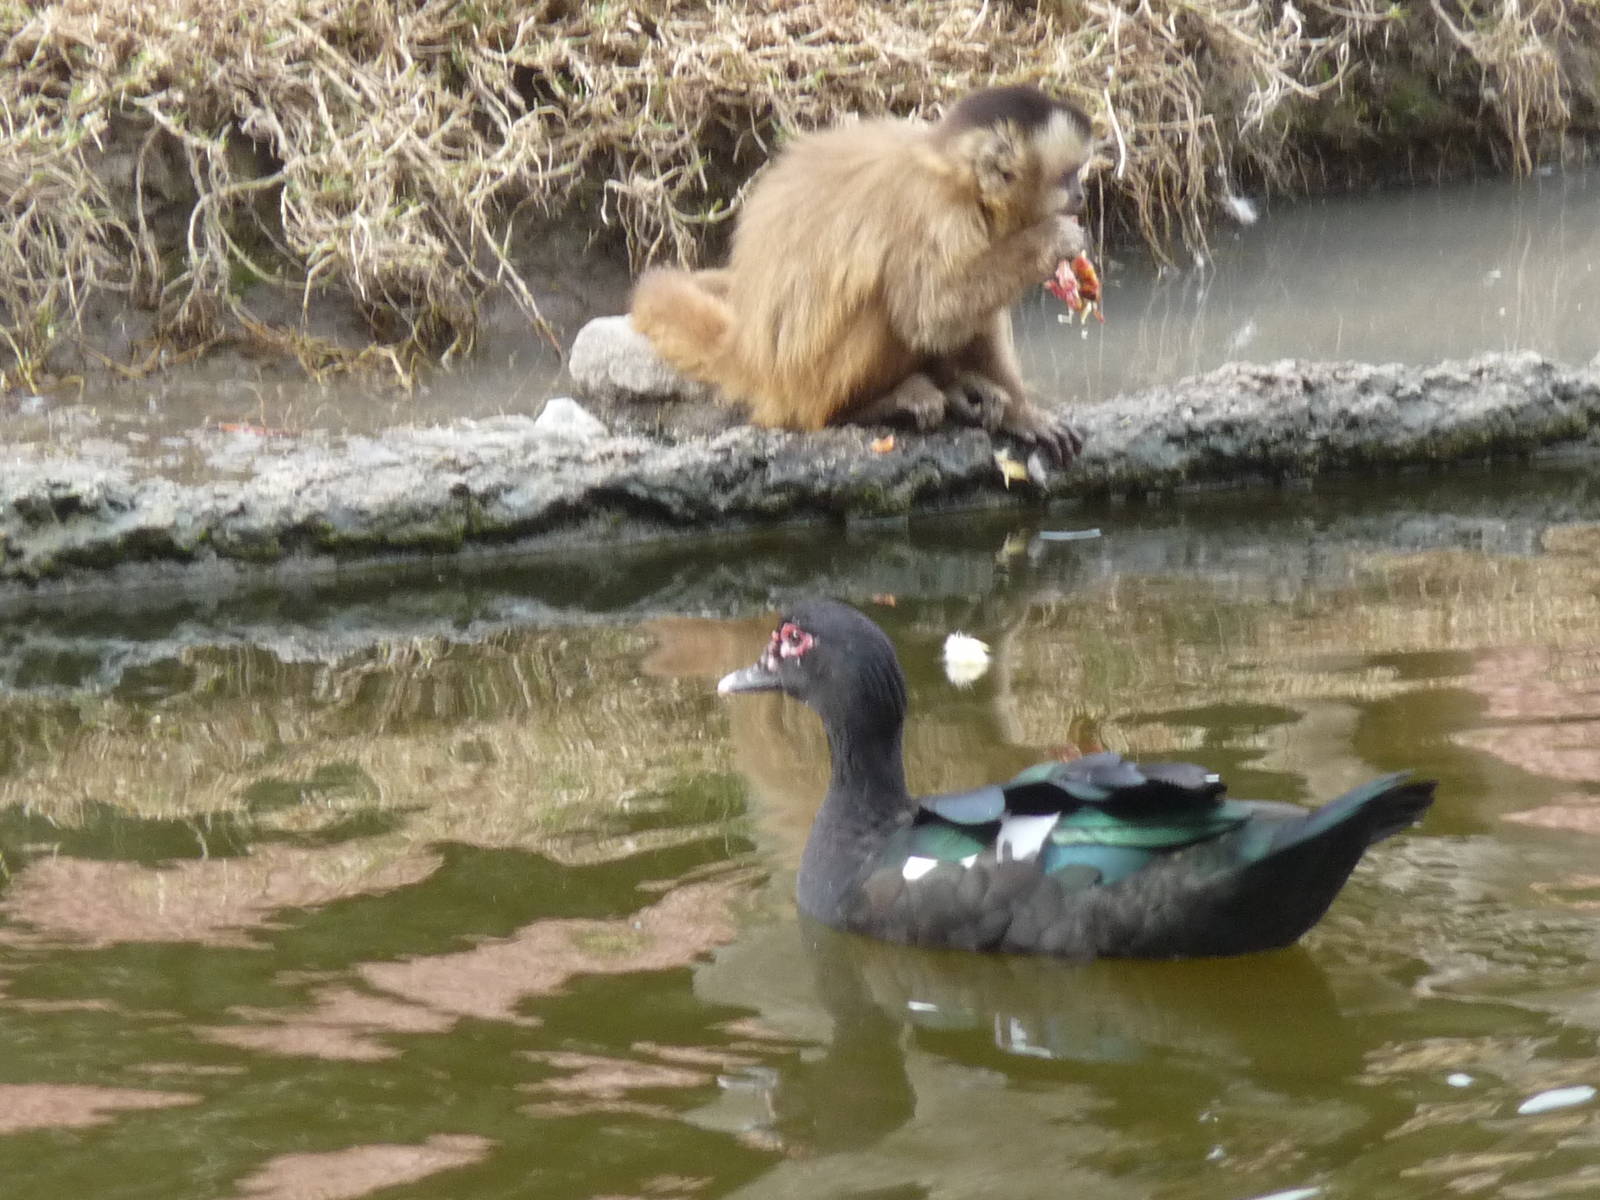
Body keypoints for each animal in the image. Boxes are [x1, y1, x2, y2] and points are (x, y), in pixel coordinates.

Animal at [629, 85, 1093, 464]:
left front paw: (1020, 413)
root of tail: (746, 354)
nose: (1082, 193)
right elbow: (927, 315)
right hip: (805, 383)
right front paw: (1050, 241)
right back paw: (870, 406)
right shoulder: (931, 211)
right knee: (885, 304)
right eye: (1068, 176)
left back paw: (957, 387)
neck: (954, 175)